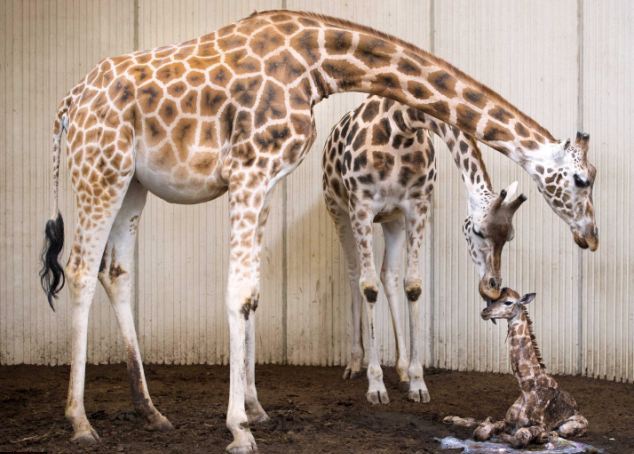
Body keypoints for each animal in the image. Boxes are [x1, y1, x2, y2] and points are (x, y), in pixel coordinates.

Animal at [320, 96, 524, 404]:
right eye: (477, 231)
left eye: (510, 236)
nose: (492, 288)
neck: (401, 129)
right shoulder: (362, 207)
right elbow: (368, 286)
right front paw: (376, 385)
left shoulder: (416, 206)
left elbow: (413, 285)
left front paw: (417, 382)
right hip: (338, 210)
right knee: (355, 274)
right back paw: (355, 364)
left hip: (392, 220)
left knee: (389, 276)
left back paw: (402, 368)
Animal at [444, 290, 588, 448]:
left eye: (508, 302)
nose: (485, 312)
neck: (525, 388)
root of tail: (576, 404)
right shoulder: (507, 420)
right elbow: (481, 432)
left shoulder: (539, 425)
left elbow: (520, 437)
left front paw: (540, 437)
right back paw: (450, 418)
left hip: (569, 426)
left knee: (560, 431)